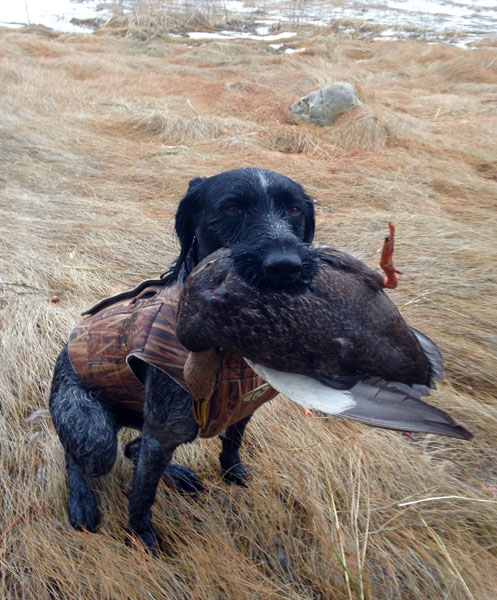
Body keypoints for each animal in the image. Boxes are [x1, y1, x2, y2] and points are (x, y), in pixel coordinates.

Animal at [49, 167, 316, 550]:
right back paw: (82, 500)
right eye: (232, 208)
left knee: (133, 447)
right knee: (81, 456)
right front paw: (141, 535)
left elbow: (231, 444)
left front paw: (231, 471)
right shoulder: (163, 432)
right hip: (95, 434)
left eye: (294, 210)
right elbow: (143, 494)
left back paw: (176, 474)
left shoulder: (243, 407)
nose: (285, 266)